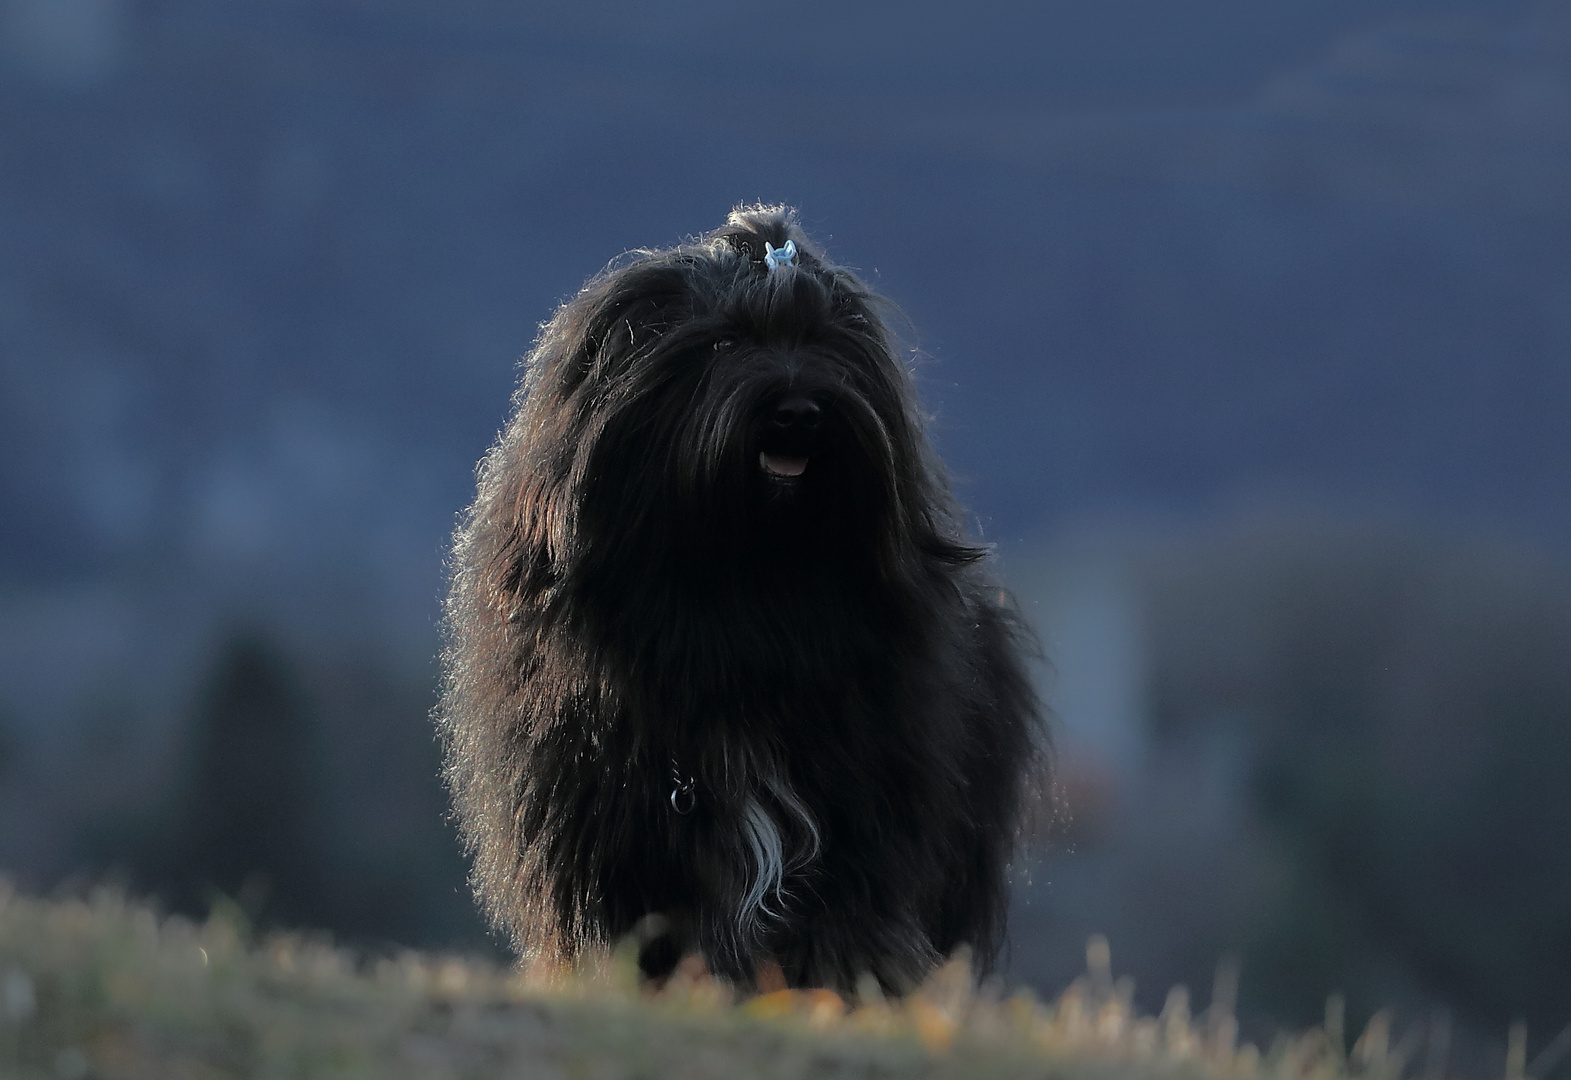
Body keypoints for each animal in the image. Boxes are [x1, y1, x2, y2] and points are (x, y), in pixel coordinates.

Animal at [439, 204, 1043, 999]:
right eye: (723, 342)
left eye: (825, 345)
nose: (799, 411)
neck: (743, 596)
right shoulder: (605, 809)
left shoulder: (866, 803)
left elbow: (847, 913)